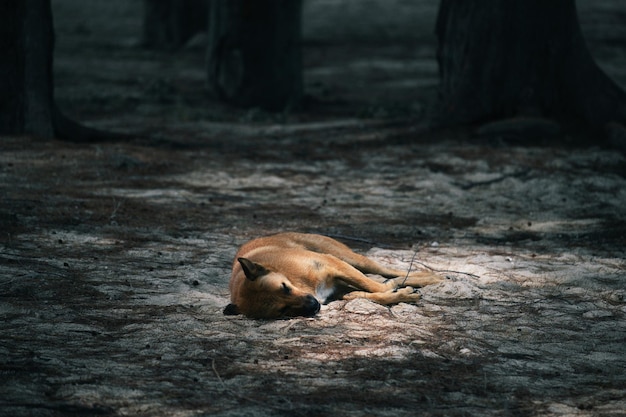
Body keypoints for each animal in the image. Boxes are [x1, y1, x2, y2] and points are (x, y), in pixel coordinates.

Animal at [222, 231, 442, 318]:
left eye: (285, 287)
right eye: (282, 310)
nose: (314, 305)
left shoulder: (332, 264)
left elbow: (375, 286)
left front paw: (396, 288)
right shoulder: (338, 288)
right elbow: (373, 294)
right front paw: (399, 294)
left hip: (349, 258)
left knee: (390, 271)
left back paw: (431, 277)